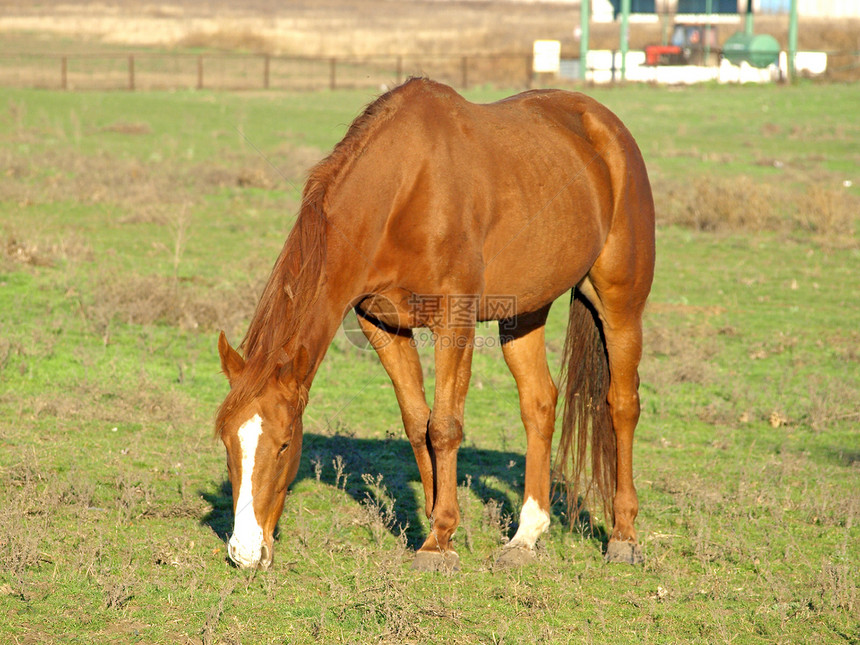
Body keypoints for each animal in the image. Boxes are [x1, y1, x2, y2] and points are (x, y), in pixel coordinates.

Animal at [213, 78, 652, 572]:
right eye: (227, 442)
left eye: (286, 444)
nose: (245, 551)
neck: (404, 190)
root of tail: (606, 127)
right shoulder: (380, 325)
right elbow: (416, 423)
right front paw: (436, 524)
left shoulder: (454, 318)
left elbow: (443, 426)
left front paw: (438, 540)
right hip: (524, 312)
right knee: (539, 404)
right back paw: (525, 537)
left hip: (620, 302)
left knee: (622, 405)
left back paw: (623, 536)